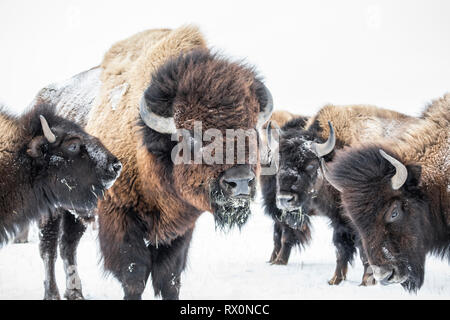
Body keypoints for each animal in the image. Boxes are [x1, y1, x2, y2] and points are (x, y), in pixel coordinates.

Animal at [33, 25, 272, 300]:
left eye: (251, 130)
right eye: (191, 135)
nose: (240, 182)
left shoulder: (179, 228)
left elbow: (169, 277)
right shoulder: (119, 216)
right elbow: (134, 275)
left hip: (76, 210)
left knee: (67, 245)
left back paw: (75, 292)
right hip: (51, 208)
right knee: (48, 247)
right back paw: (52, 293)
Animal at [266, 104, 414, 284]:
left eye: (311, 164)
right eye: (279, 164)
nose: (285, 199)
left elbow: (365, 252)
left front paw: (366, 282)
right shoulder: (339, 222)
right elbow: (341, 249)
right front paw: (335, 280)